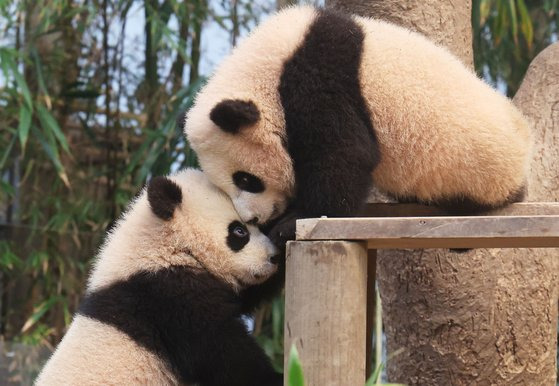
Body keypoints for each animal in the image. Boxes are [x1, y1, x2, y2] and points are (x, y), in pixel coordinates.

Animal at [37, 169, 284, 386]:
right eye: (239, 231)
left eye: (257, 224)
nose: (273, 257)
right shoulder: (164, 293)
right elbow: (220, 349)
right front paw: (276, 377)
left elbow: (246, 295)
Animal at [183, 5, 532, 241]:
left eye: (246, 179)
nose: (253, 218)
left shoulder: (319, 76)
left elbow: (344, 155)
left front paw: (294, 222)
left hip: (479, 168)